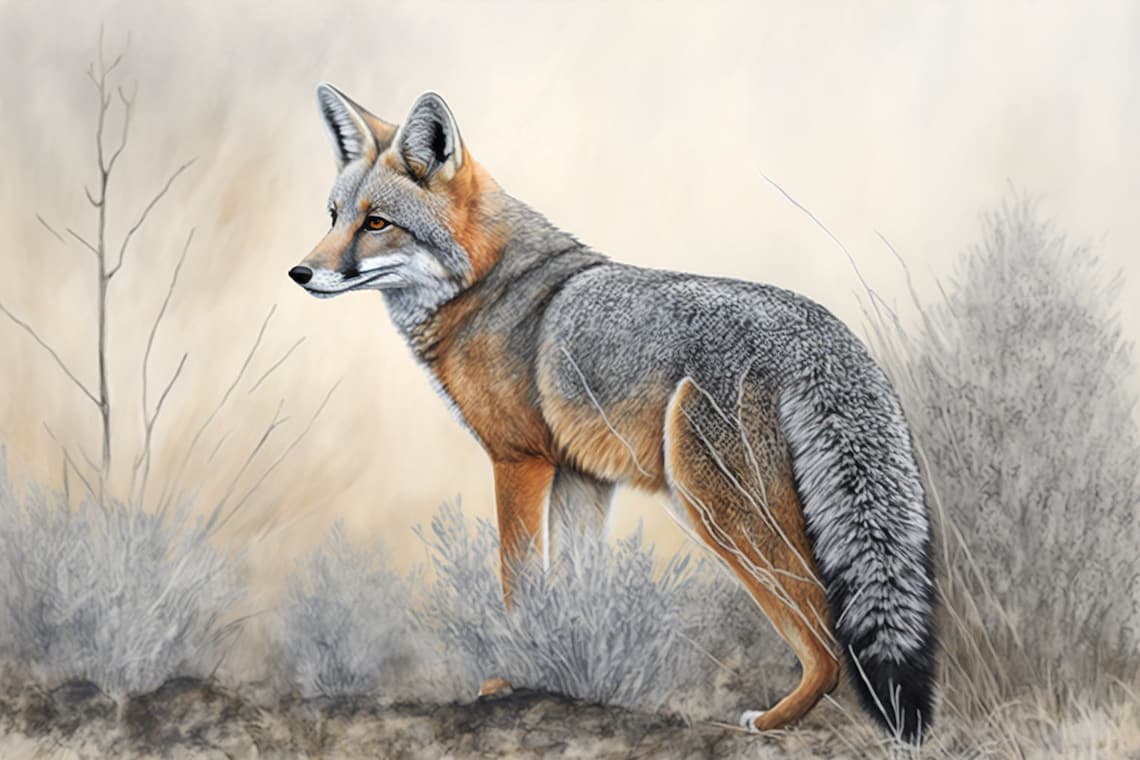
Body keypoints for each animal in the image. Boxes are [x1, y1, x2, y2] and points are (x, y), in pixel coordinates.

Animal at [289, 85, 938, 743]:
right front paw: (572, 666)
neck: (482, 286)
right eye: (333, 216)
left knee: (828, 640)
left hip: (718, 507)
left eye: (376, 223)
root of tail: (816, 327)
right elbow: (578, 583)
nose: (300, 273)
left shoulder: (518, 462)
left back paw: (773, 719)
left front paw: (512, 674)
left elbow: (518, 582)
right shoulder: (584, 477)